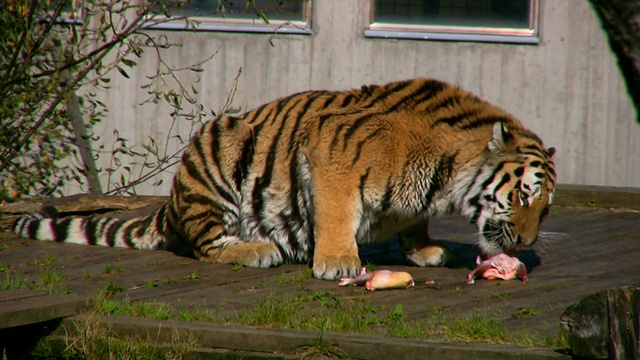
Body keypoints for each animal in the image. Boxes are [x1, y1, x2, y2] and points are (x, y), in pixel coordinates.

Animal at [13, 79, 556, 282]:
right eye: (523, 194)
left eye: (546, 207)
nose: (528, 242)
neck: (447, 172)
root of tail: (172, 200)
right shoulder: (331, 152)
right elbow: (337, 213)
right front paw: (337, 262)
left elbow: (411, 219)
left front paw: (424, 250)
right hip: (221, 144)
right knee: (207, 244)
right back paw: (257, 248)